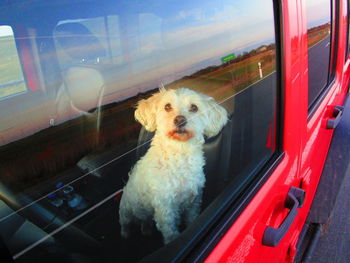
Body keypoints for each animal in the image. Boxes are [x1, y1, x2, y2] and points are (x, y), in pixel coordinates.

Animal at [119, 87, 228, 244]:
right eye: (167, 106)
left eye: (194, 107)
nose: (180, 120)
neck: (179, 154)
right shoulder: (165, 208)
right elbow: (170, 232)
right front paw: (173, 239)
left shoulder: (194, 200)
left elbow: (192, 219)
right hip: (126, 210)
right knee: (125, 224)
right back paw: (125, 235)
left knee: (145, 221)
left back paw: (146, 230)